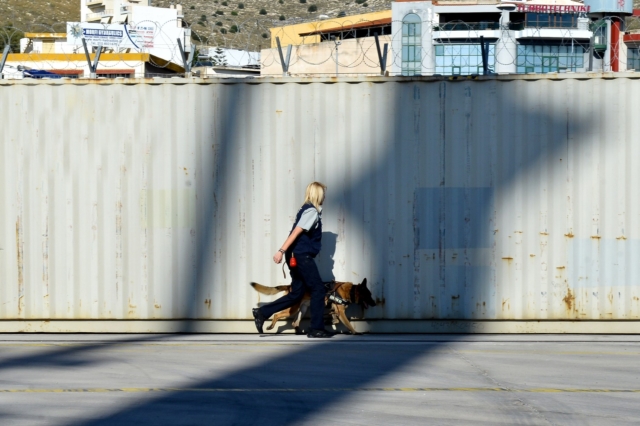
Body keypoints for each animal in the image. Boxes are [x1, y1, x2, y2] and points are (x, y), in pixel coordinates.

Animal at [250, 280, 378, 336]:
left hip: (303, 309)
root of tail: (290, 285)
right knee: (277, 314)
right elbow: (348, 324)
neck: (351, 291)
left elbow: (336, 319)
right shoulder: (341, 312)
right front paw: (355, 332)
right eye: (369, 295)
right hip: (293, 308)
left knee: (295, 323)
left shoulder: (336, 311)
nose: (375, 304)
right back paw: (269, 325)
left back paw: (300, 333)